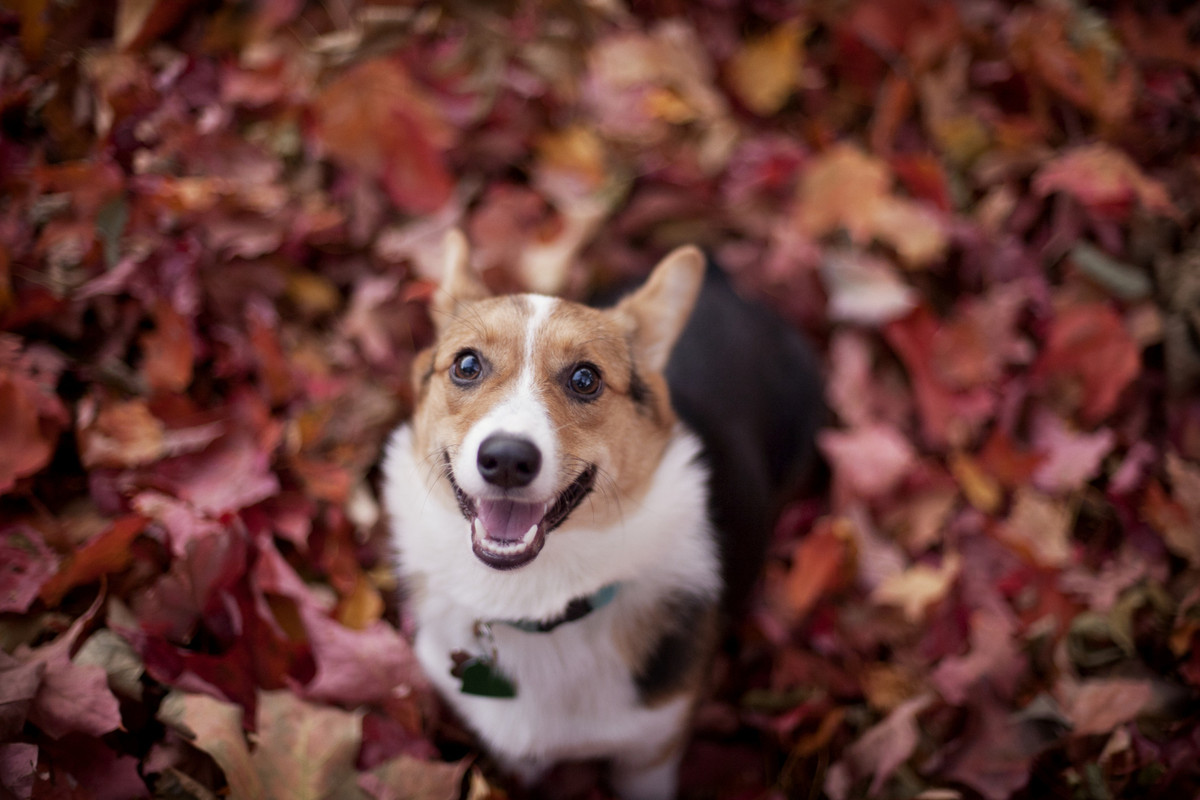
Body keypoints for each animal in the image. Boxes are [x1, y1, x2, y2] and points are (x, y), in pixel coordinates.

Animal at [384, 227, 825, 796]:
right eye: (466, 365)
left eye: (585, 379)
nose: (506, 460)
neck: (536, 604)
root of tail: (727, 286)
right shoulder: (515, 759)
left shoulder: (651, 755)